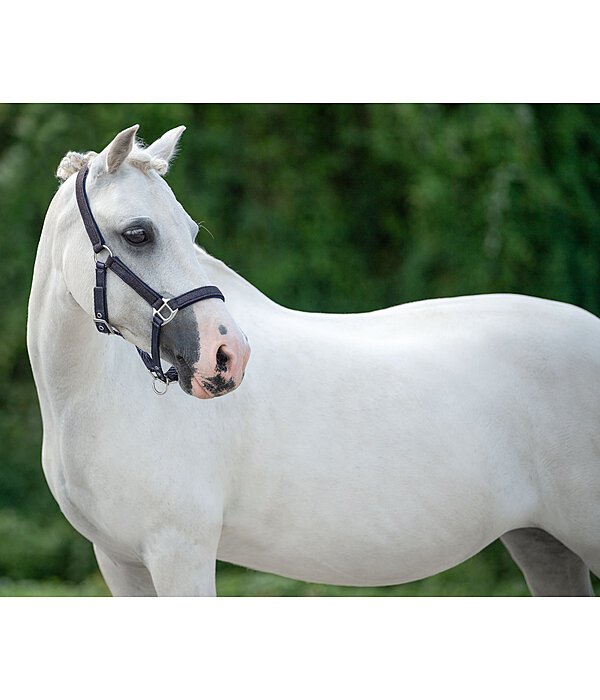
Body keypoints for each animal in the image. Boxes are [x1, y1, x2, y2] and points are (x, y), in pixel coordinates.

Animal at [27, 126, 600, 596]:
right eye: (138, 233)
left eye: (190, 232)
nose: (228, 355)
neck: (94, 401)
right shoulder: (121, 562)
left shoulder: (179, 553)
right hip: (542, 543)